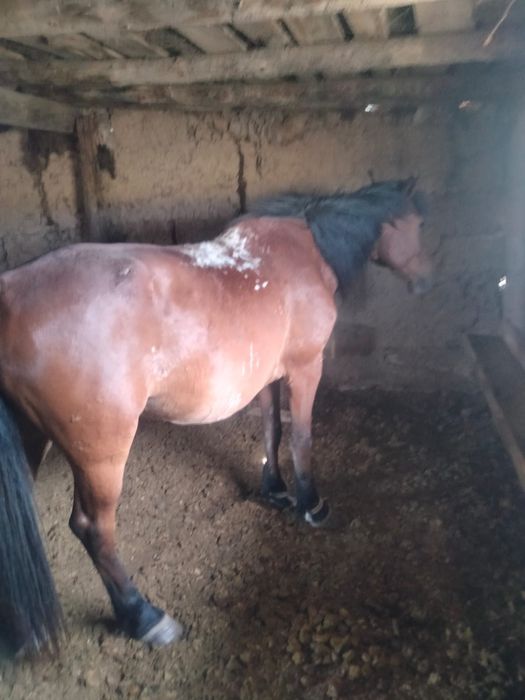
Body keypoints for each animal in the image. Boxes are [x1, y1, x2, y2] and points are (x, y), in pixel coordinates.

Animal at [0, 178, 432, 657]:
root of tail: (12, 292)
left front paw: (275, 491)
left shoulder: (268, 374)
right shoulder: (305, 368)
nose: (426, 279)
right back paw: (144, 617)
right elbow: (301, 437)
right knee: (93, 529)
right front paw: (311, 504)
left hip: (32, 438)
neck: (305, 251)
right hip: (99, 455)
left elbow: (272, 430)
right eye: (418, 223)